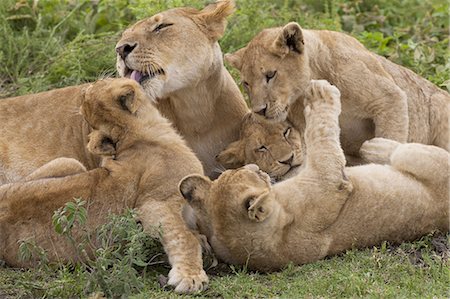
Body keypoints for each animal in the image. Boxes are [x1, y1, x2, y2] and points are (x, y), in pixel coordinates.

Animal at [0, 78, 208, 294]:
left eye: (98, 84)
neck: (133, 137)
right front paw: (190, 277)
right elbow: (183, 236)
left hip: (68, 163)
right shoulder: (154, 205)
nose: (87, 86)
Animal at [178, 80, 448, 272]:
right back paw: (375, 147)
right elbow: (322, 136)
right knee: (408, 152)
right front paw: (320, 94)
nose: (256, 169)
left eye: (240, 171)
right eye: (253, 173)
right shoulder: (328, 183)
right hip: (423, 159)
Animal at [227, 22, 448, 162]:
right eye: (246, 83)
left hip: (439, 102)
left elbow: (390, 133)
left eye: (271, 74)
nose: (259, 110)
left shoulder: (389, 98)